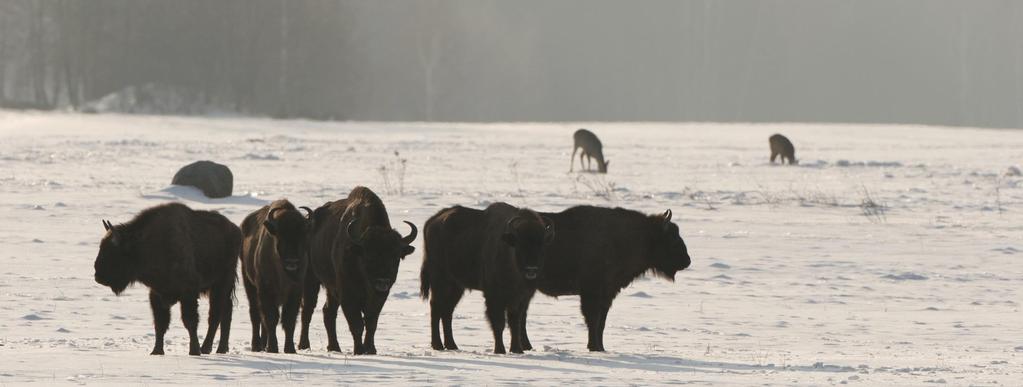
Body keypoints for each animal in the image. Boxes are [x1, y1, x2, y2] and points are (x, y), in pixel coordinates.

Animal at [93, 203, 240, 354]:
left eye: (112, 252)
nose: (98, 276)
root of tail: (235, 229)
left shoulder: (188, 293)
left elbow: (189, 321)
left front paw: (194, 351)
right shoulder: (157, 294)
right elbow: (160, 323)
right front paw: (156, 351)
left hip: (221, 284)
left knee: (215, 315)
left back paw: (206, 348)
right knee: (226, 311)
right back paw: (221, 348)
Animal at [238, 199, 310, 354]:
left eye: (302, 235)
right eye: (280, 235)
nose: (292, 261)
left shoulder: (295, 292)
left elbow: (289, 319)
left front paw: (290, 349)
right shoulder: (266, 290)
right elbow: (271, 318)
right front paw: (272, 348)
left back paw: (263, 344)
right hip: (249, 284)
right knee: (255, 315)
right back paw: (256, 346)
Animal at [298, 186, 417, 354]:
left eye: (396, 256)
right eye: (369, 255)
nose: (382, 281)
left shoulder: (379, 297)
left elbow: (371, 322)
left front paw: (371, 349)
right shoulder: (348, 294)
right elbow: (357, 323)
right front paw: (359, 350)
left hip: (331, 289)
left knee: (328, 312)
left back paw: (334, 347)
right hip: (311, 280)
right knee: (308, 310)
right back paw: (304, 345)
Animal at [419, 205, 556, 354]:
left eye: (541, 245)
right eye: (520, 244)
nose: (531, 269)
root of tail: (432, 221)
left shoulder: (520, 298)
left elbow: (515, 322)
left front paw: (517, 350)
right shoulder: (494, 296)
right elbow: (499, 323)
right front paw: (500, 350)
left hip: (456, 286)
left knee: (447, 311)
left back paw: (452, 345)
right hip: (441, 281)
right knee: (436, 308)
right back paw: (438, 345)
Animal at [523, 206, 691, 352]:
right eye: (672, 238)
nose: (687, 261)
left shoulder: (607, 294)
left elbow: (601, 322)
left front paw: (601, 348)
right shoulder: (592, 292)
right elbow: (593, 319)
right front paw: (594, 347)